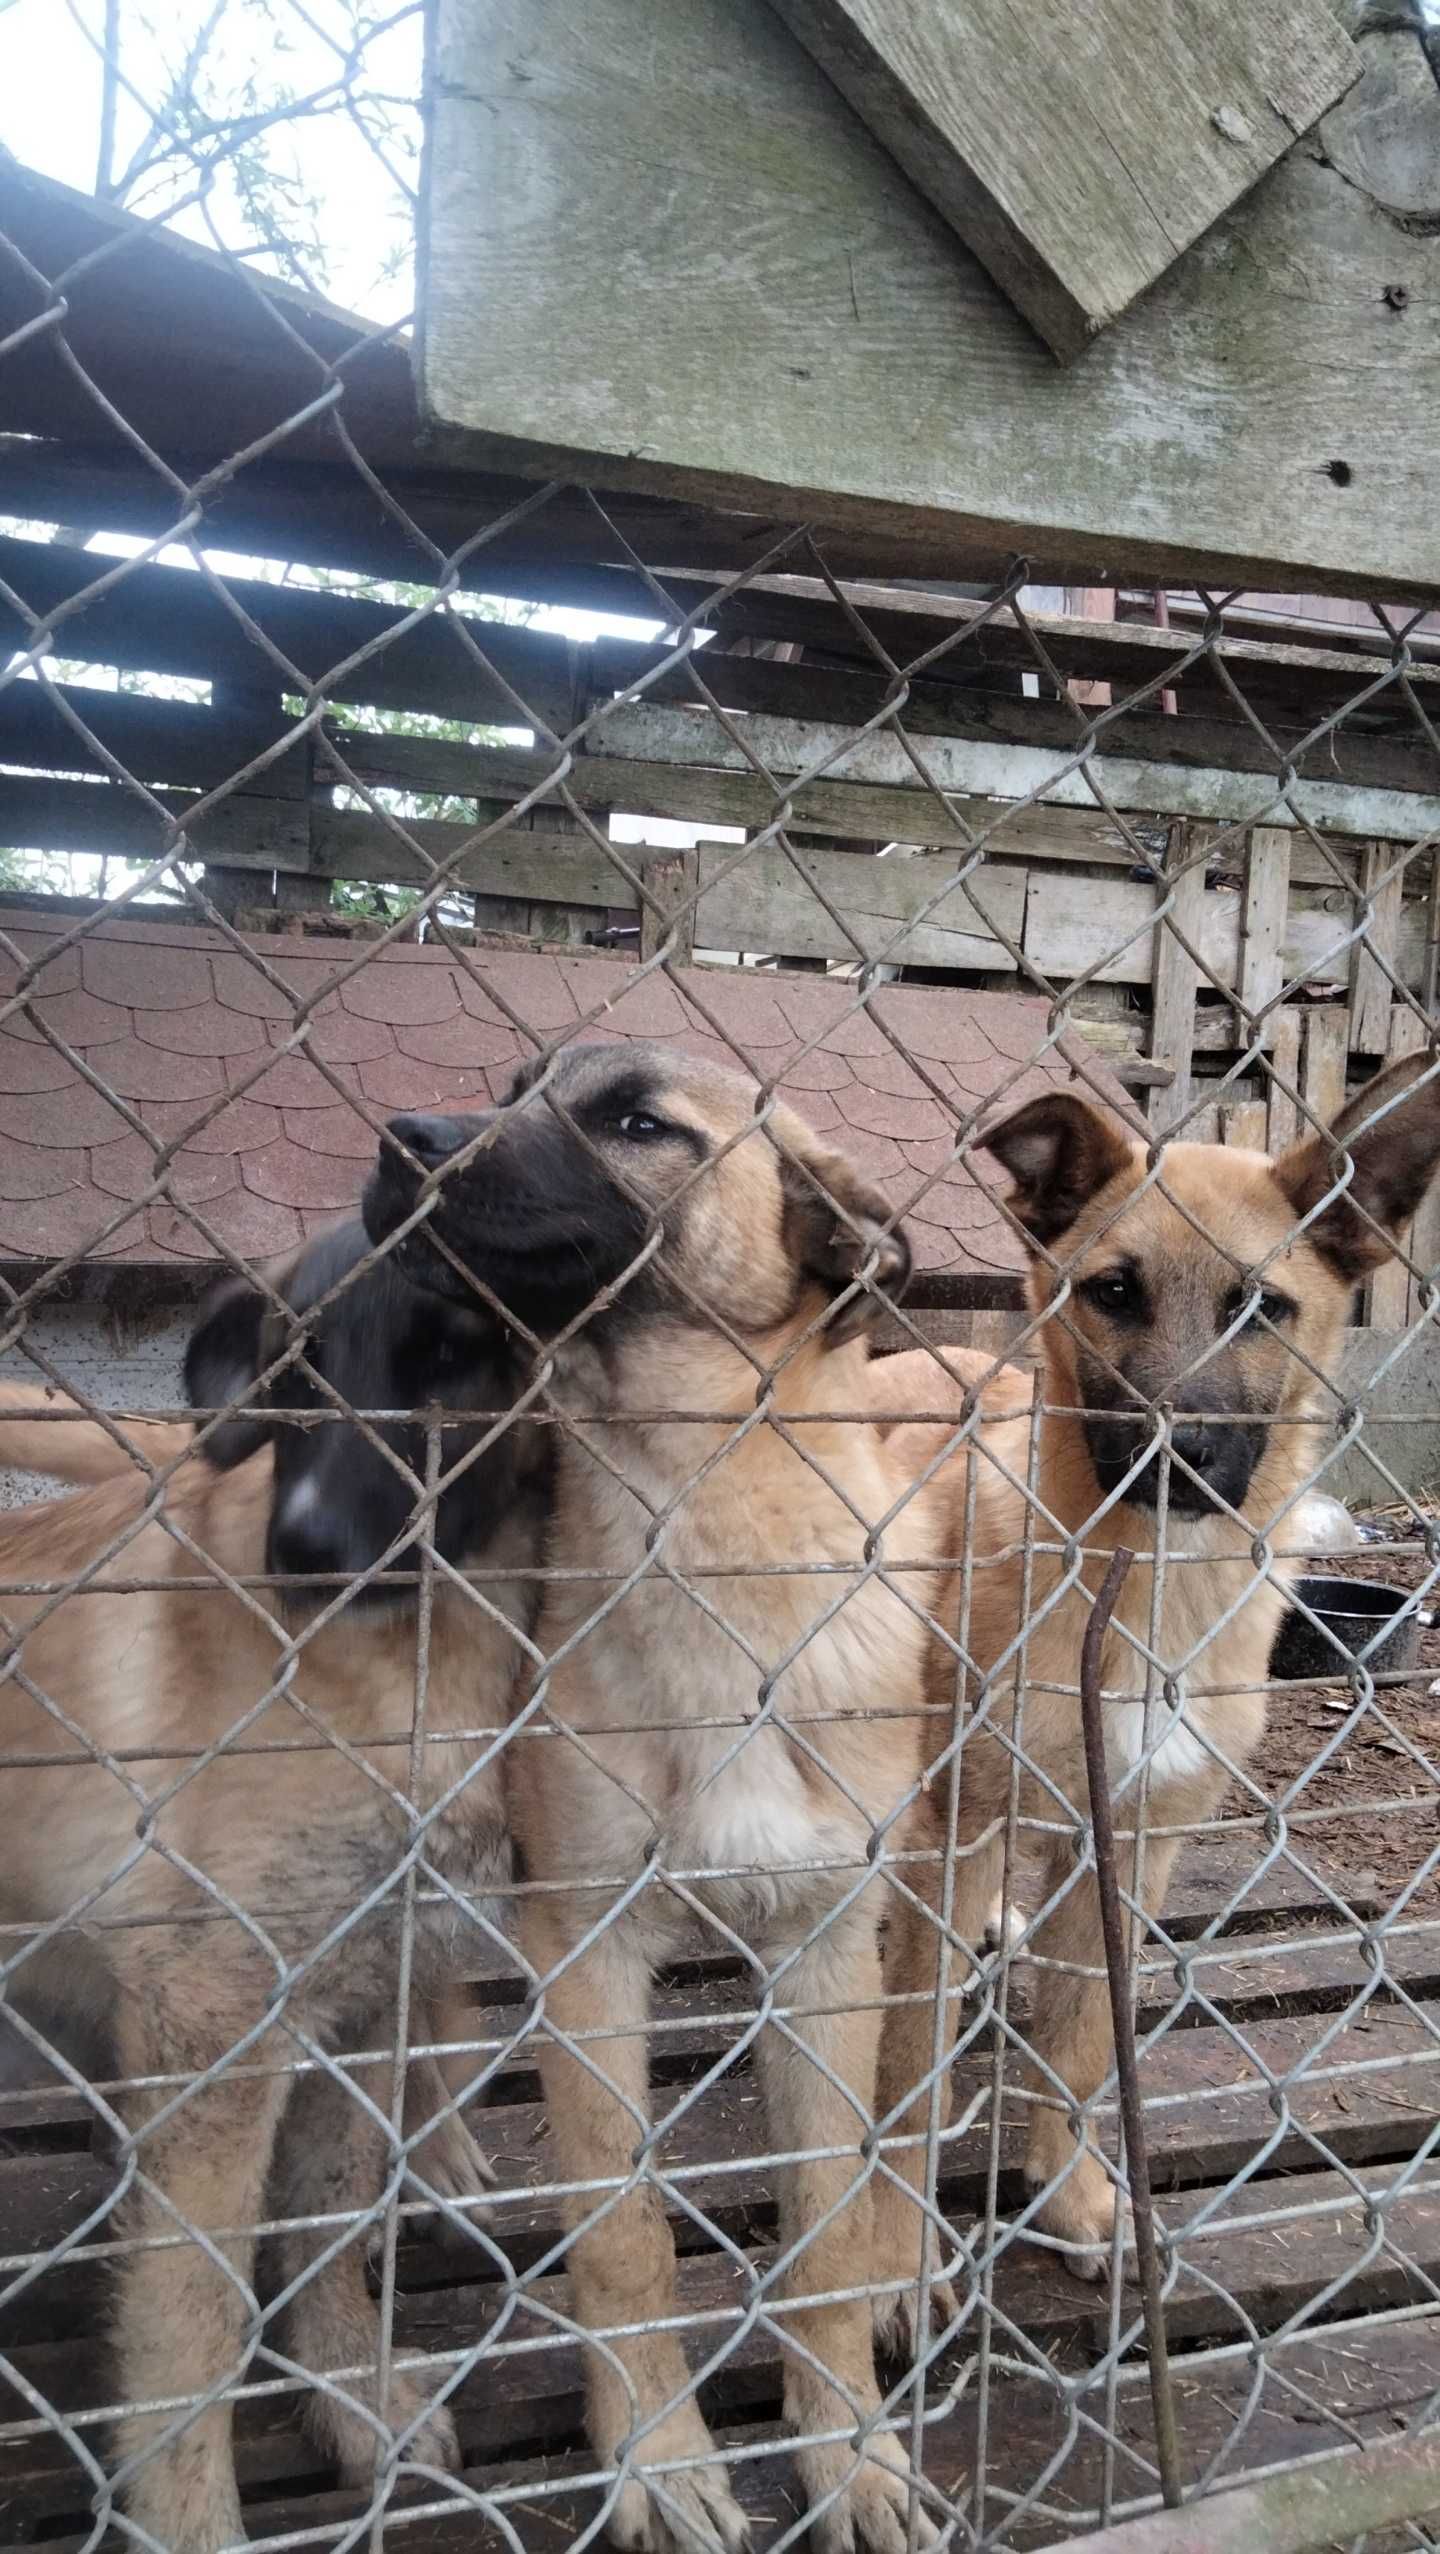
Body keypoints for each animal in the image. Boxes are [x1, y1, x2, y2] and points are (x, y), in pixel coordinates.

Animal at [0, 1225, 548, 2543]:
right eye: (290, 1371)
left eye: (453, 1352)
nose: (299, 1553)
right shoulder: (215, 2028)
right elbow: (190, 2327)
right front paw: (190, 2521)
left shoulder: (355, 2001)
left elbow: (331, 2217)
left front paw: (354, 2403)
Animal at [362, 1036, 944, 2554]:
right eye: (517, 1082)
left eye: (635, 1120)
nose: (397, 1139)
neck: (707, 1518)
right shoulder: (587, 1950)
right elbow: (621, 2233)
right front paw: (656, 2459)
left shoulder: (826, 1945)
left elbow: (828, 2230)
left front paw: (846, 2450)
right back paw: (431, 2160)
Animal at [868, 1047, 1440, 2308]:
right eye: (1114, 1291)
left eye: (1260, 1308)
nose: (1179, 1456)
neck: (1144, 1592)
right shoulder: (962, 1812)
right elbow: (906, 2064)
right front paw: (888, 2250)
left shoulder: (1134, 1833)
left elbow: (1085, 2043)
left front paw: (1073, 2194)